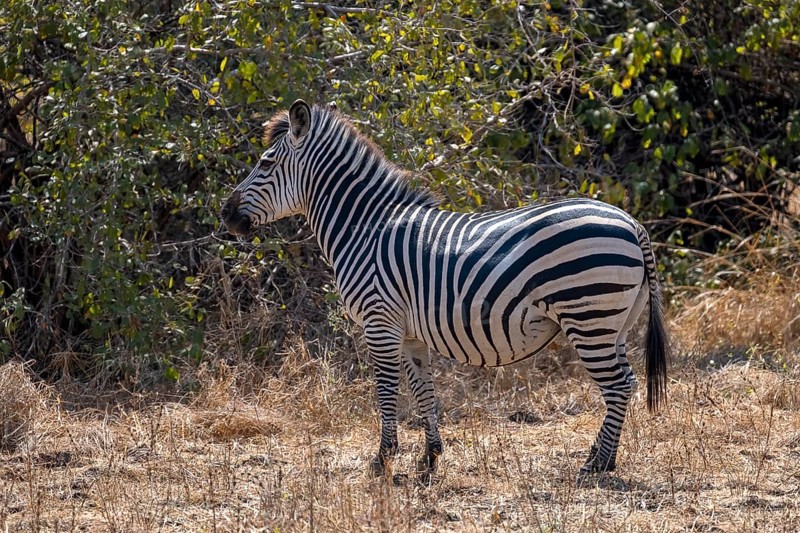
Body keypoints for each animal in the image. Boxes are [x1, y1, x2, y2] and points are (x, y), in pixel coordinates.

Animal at [221, 99, 669, 478]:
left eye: (265, 162)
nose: (225, 214)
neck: (364, 228)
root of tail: (632, 222)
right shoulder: (410, 332)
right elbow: (424, 391)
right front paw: (430, 457)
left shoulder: (379, 322)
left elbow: (386, 391)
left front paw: (382, 461)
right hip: (614, 323)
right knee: (627, 381)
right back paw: (603, 458)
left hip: (589, 315)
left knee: (617, 384)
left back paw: (596, 465)